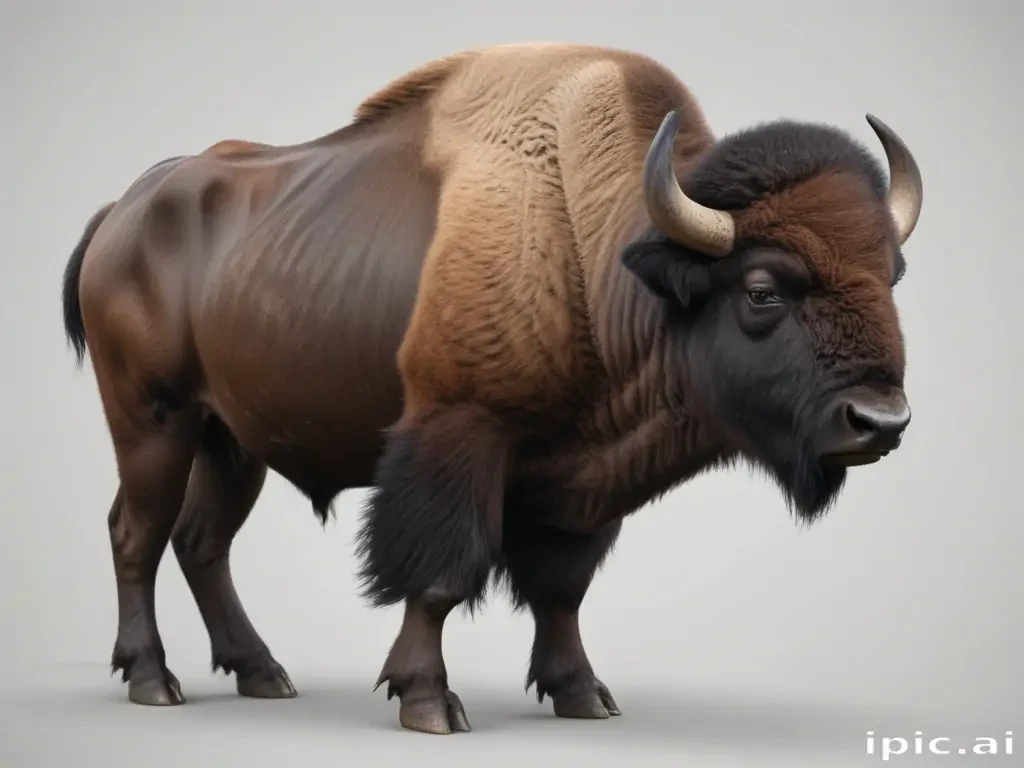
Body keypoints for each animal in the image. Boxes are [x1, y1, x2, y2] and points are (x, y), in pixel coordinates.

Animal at [61, 42, 921, 734]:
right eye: (762, 289)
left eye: (891, 276)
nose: (879, 421)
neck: (596, 255)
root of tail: (122, 212)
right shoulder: (460, 436)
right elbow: (440, 576)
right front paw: (428, 702)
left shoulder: (582, 484)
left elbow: (561, 590)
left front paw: (583, 695)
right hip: (152, 420)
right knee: (136, 533)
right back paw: (154, 679)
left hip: (233, 439)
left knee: (201, 541)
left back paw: (263, 674)